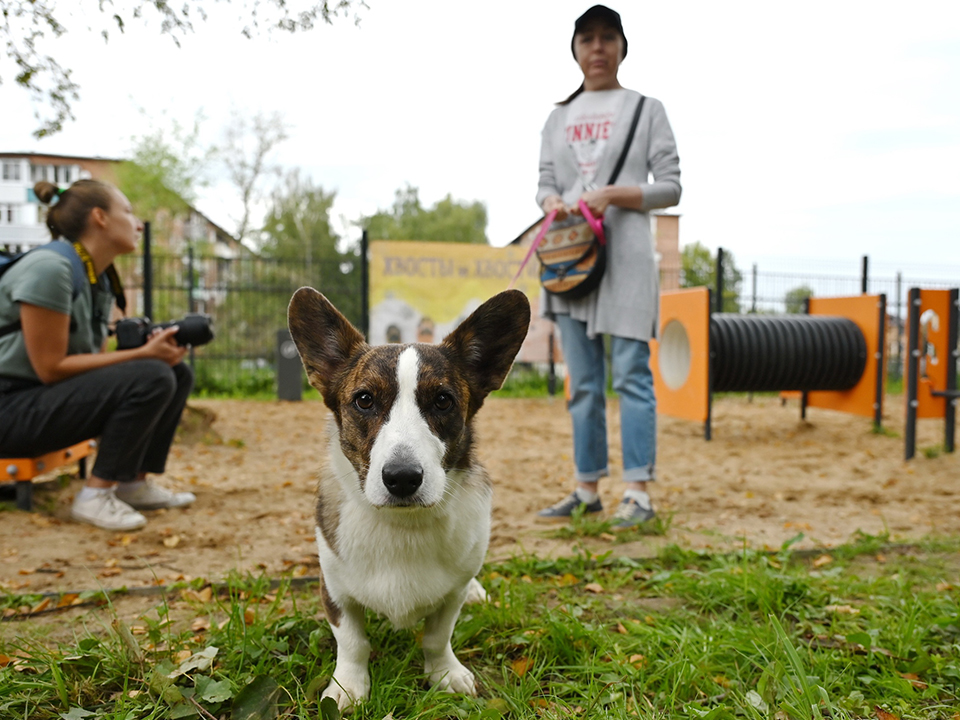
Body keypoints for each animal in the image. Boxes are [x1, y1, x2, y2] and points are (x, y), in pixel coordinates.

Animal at [288, 286, 528, 708]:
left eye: (443, 401)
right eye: (364, 400)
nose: (402, 478)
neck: (403, 524)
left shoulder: (451, 597)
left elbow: (436, 637)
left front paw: (445, 673)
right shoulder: (335, 593)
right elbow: (353, 644)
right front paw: (348, 687)